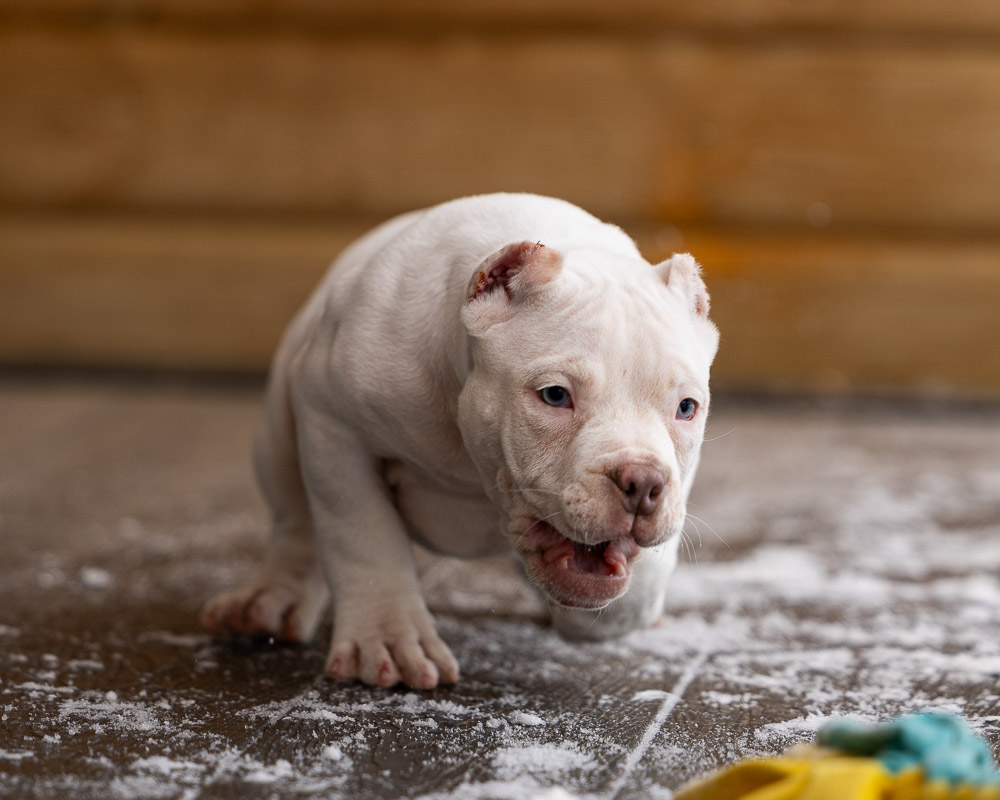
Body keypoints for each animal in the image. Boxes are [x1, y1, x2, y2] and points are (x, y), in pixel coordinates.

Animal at [201, 193, 719, 689]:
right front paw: (388, 639)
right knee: (297, 519)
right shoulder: (333, 422)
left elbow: (629, 595)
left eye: (686, 408)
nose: (643, 482)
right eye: (555, 395)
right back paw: (271, 600)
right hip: (278, 430)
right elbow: (361, 534)